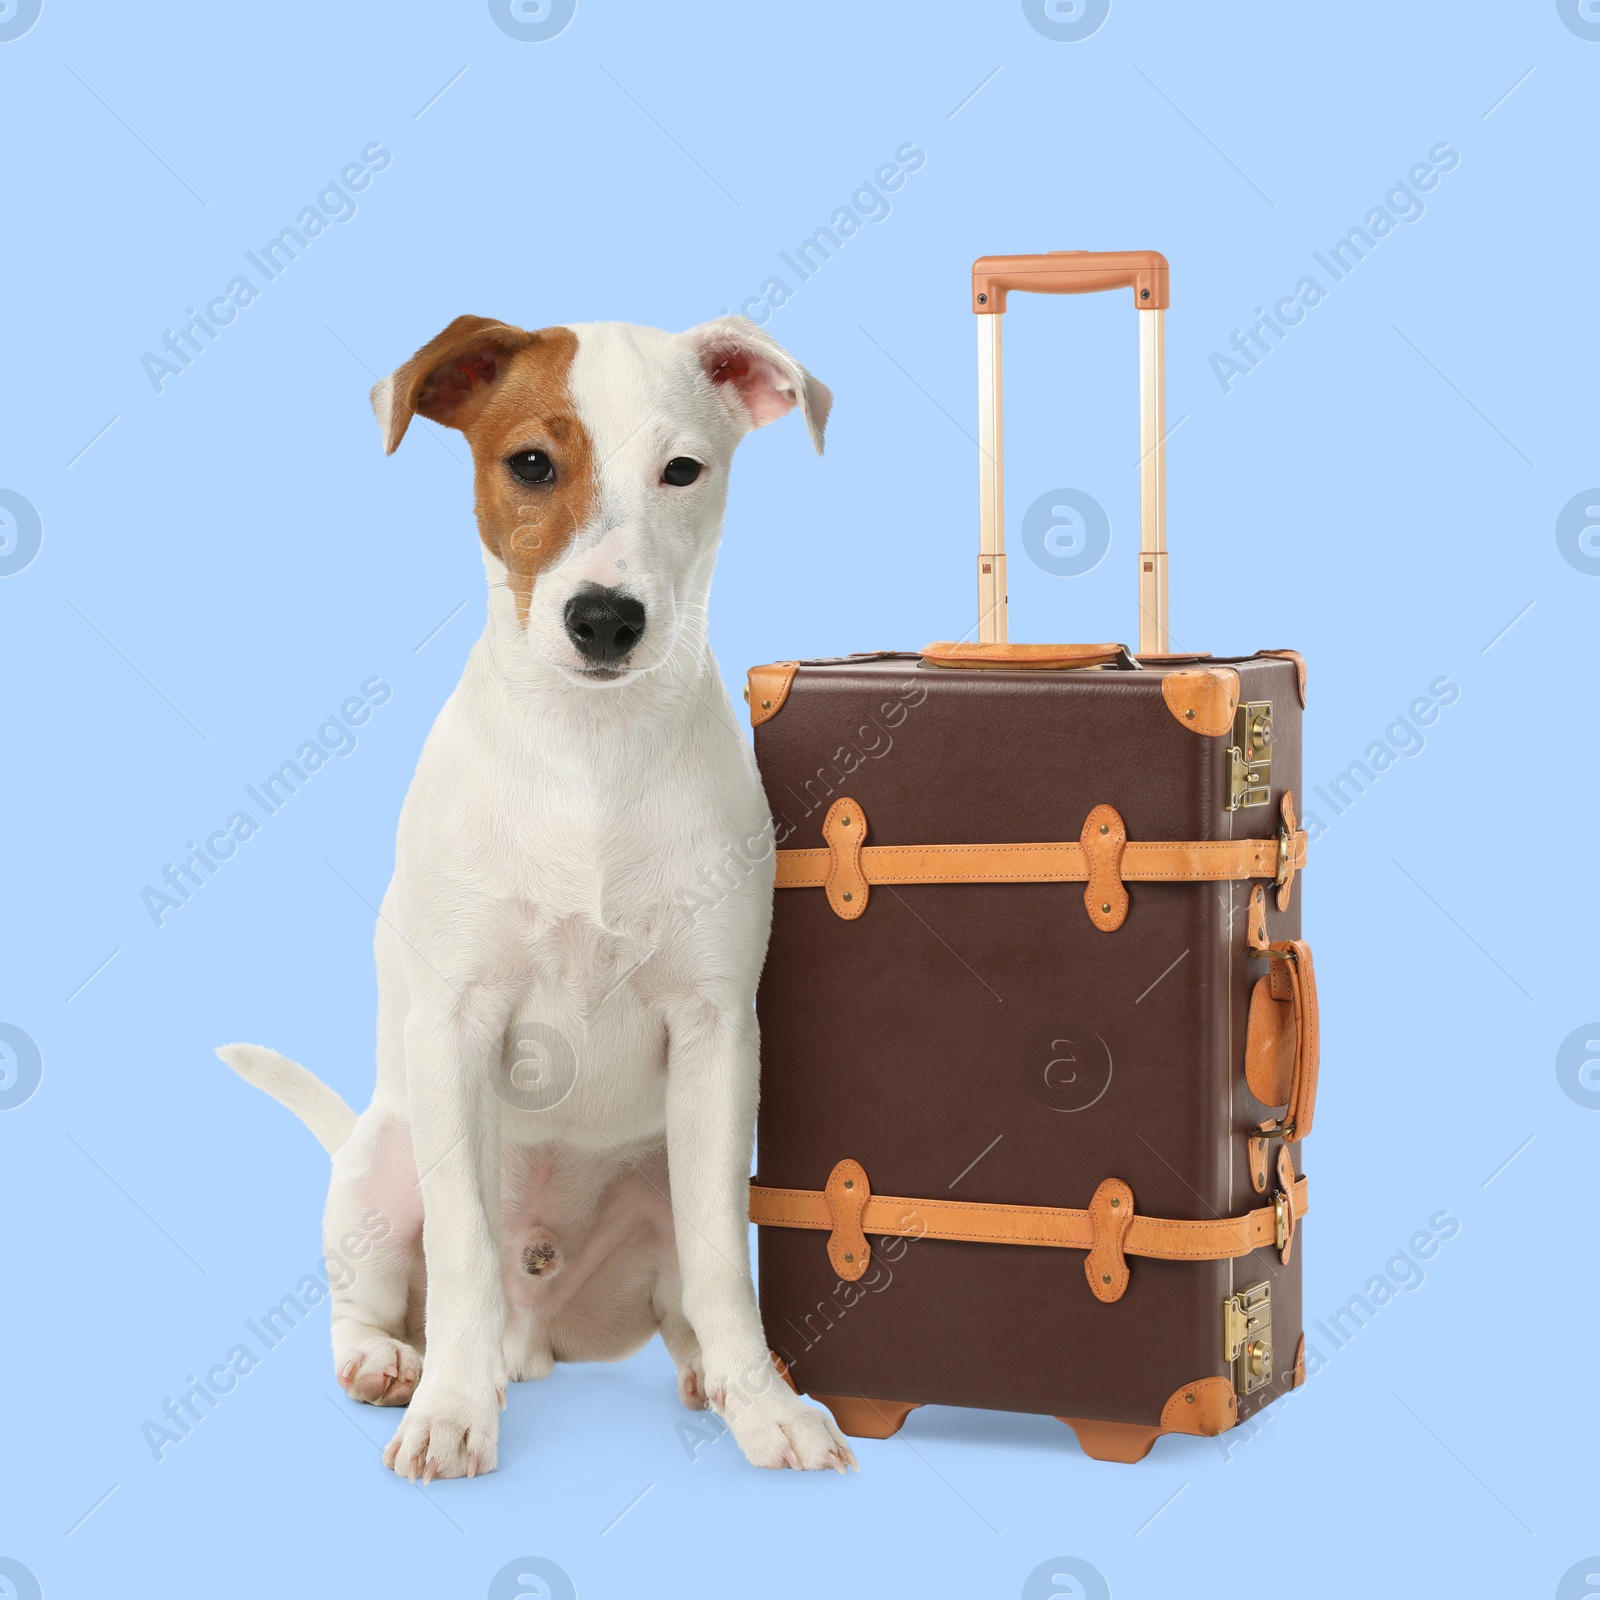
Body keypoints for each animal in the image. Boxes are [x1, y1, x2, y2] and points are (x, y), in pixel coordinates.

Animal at [222, 315, 864, 1484]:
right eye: (529, 464)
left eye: (682, 471)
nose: (605, 619)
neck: (591, 755)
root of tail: (541, 1338)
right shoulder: (455, 1026)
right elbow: (466, 1249)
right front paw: (449, 1414)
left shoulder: (716, 1035)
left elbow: (723, 1260)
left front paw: (766, 1406)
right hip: (379, 1167)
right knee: (379, 1297)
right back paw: (396, 1365)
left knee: (681, 1298)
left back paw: (703, 1374)